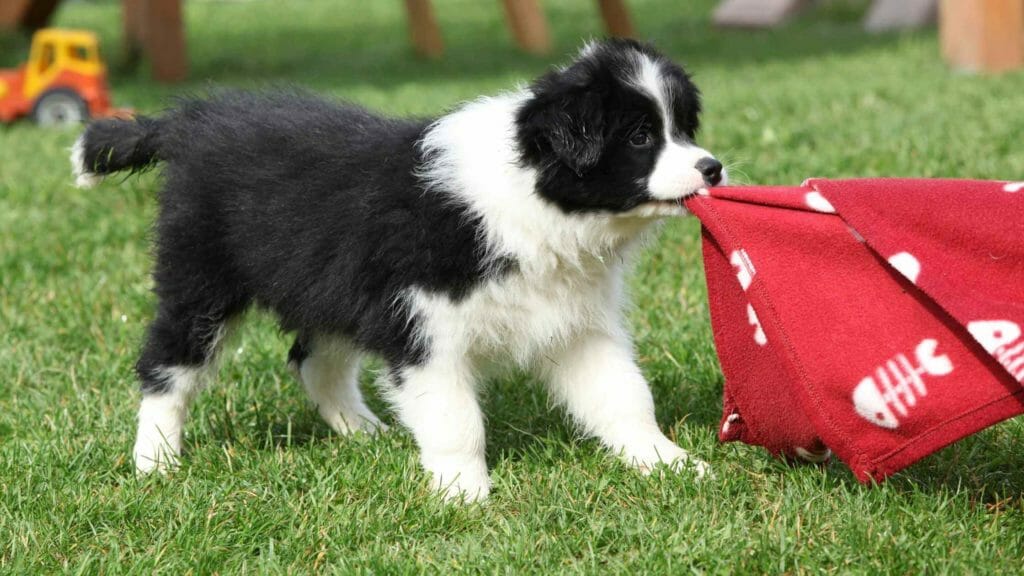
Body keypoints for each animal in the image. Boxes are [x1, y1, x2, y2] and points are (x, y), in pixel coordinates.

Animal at [72, 39, 724, 498]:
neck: (531, 194)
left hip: (332, 286)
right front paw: (465, 494)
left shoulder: (577, 321)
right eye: (640, 136)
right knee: (167, 366)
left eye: (683, 127)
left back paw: (366, 432)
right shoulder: (425, 328)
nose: (713, 168)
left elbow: (622, 395)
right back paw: (156, 461)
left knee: (312, 360)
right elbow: (456, 419)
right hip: (202, 280)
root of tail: (191, 120)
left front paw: (668, 463)